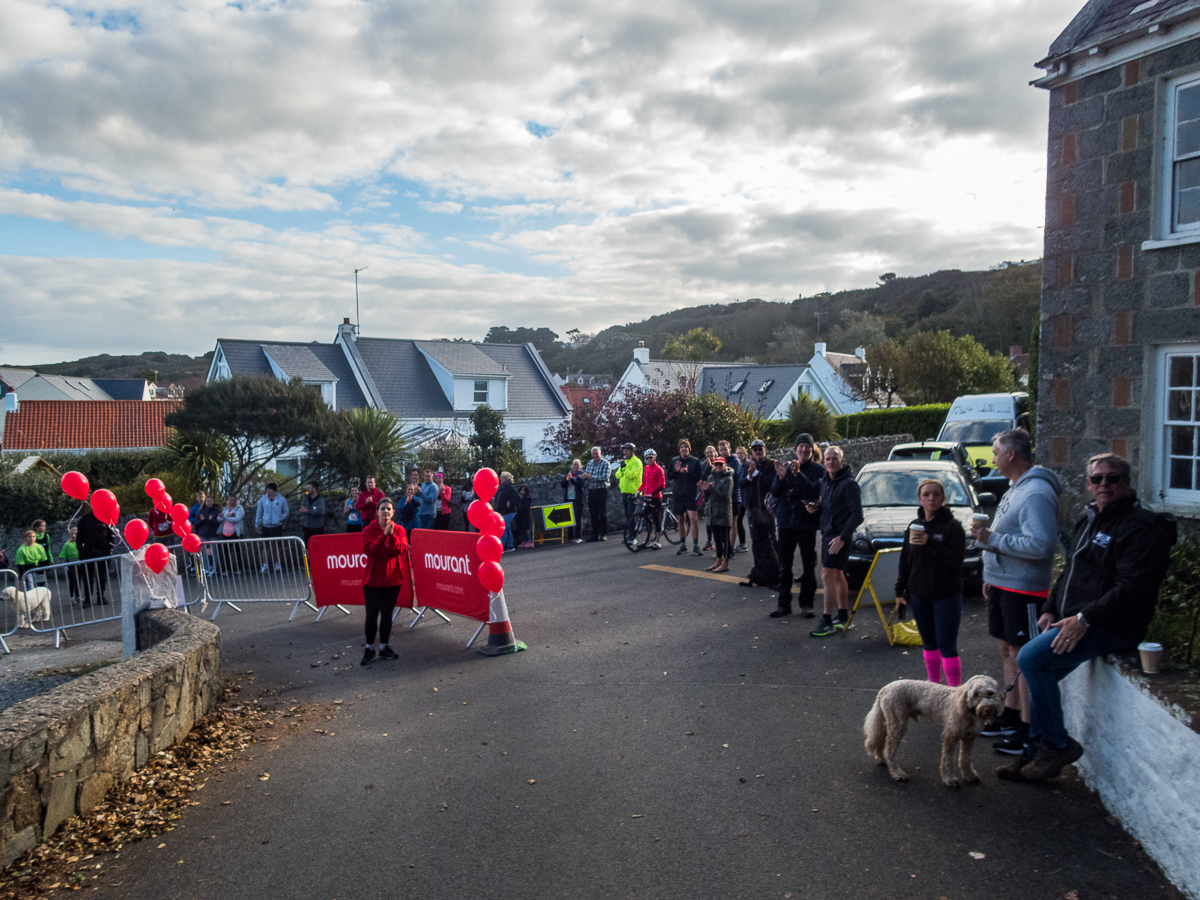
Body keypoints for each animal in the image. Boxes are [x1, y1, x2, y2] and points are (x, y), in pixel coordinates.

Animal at [864, 676, 1003, 787]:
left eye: (990, 693)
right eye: (975, 694)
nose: (987, 708)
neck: (969, 711)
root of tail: (885, 689)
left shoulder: (969, 738)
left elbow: (965, 759)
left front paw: (969, 775)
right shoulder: (950, 736)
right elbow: (947, 759)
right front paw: (949, 779)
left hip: (888, 721)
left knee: (881, 740)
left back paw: (881, 758)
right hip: (898, 724)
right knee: (890, 750)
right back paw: (897, 773)